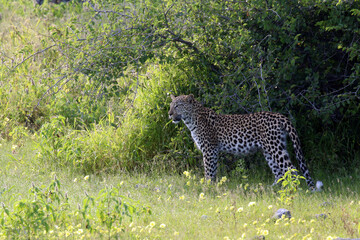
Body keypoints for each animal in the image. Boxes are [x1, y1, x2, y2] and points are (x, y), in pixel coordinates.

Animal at [167, 94, 320, 189]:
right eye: (170, 105)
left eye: (178, 105)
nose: (169, 114)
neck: (191, 119)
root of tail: (280, 116)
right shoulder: (213, 151)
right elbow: (213, 171)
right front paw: (213, 187)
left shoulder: (209, 149)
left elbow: (209, 171)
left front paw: (207, 187)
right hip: (271, 149)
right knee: (280, 173)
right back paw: (272, 189)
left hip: (275, 148)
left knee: (291, 169)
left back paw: (294, 190)